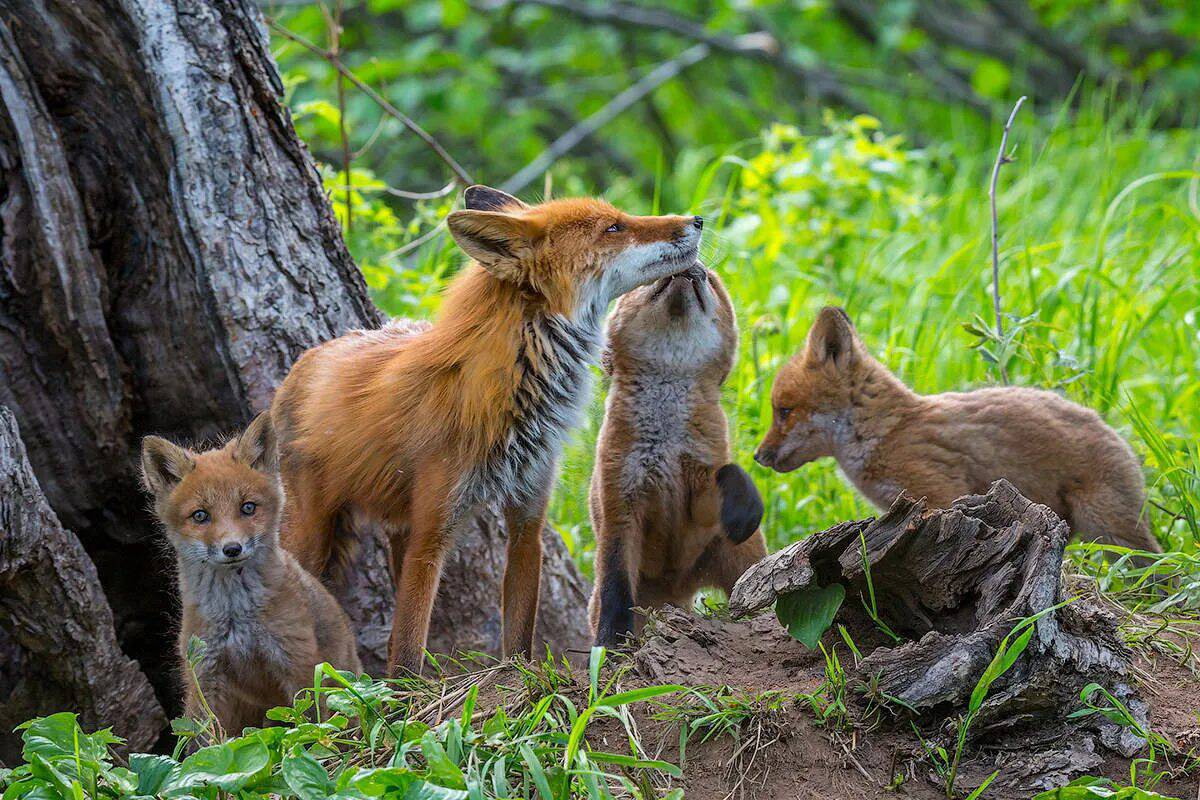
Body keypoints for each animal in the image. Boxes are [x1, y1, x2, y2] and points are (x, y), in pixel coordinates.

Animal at [272, 184, 700, 671]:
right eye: (614, 228)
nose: (698, 221)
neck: (517, 389)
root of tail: (308, 359)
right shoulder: (431, 535)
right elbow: (408, 649)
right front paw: (408, 696)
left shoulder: (528, 519)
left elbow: (518, 634)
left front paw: (518, 679)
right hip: (314, 534)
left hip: (398, 531)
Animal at [753, 307, 1156, 551]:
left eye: (784, 411)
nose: (758, 456)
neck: (887, 432)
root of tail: (1114, 431)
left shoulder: (942, 497)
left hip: (1108, 528)